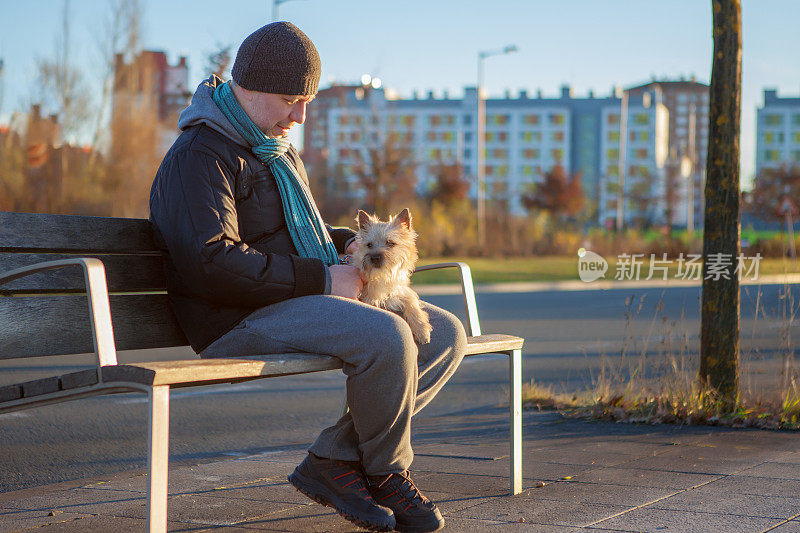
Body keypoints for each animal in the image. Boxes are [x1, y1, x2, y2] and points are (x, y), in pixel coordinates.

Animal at [354, 206, 434, 342]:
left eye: (390, 243)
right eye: (369, 245)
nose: (375, 257)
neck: (383, 276)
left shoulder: (401, 291)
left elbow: (412, 303)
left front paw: (421, 329)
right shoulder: (370, 298)